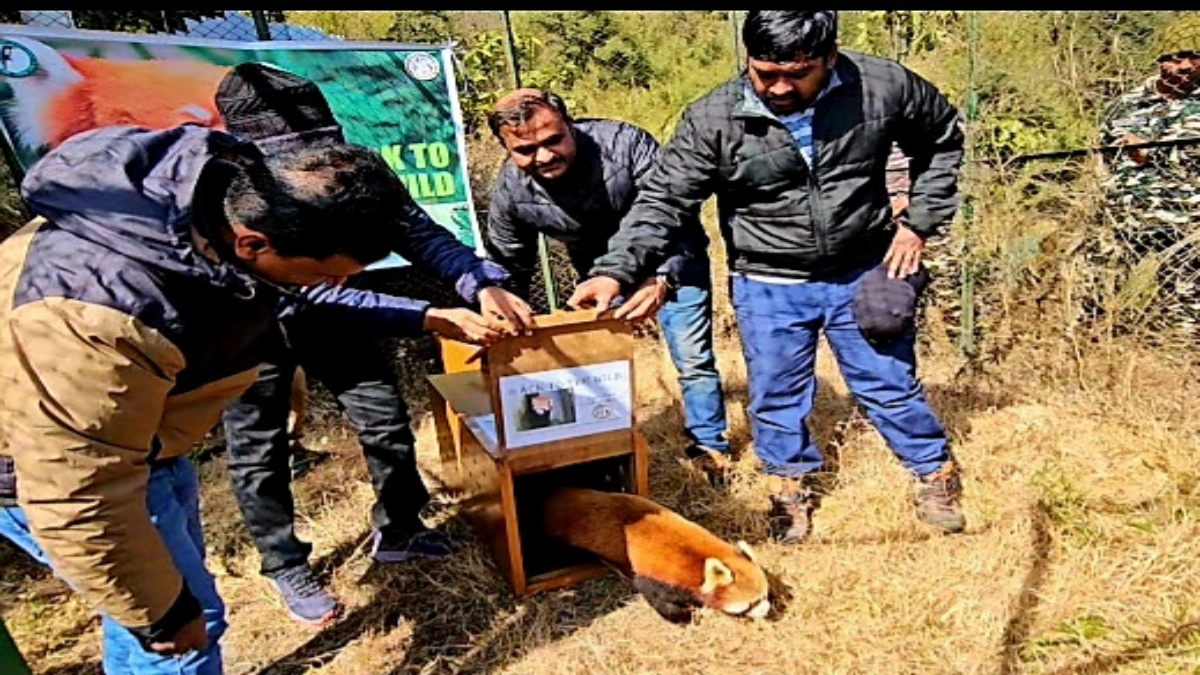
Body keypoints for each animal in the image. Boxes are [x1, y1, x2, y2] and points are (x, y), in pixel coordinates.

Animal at [542, 482, 772, 619]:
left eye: (765, 595)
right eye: (751, 604)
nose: (767, 610)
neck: (697, 559)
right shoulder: (654, 575)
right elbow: (658, 599)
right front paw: (684, 616)